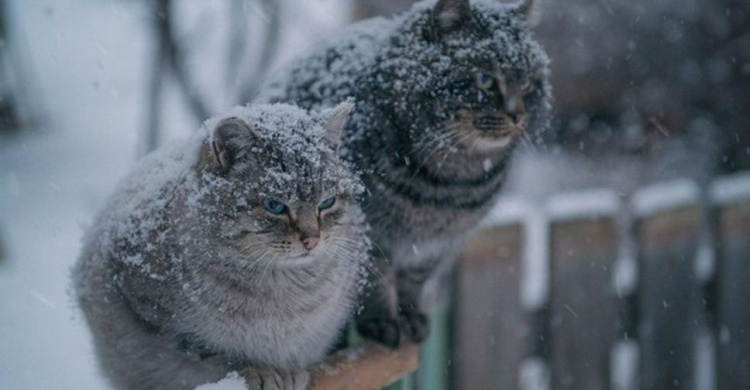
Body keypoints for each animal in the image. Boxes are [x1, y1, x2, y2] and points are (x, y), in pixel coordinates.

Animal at [74, 102, 370, 388]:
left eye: (327, 203)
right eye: (275, 206)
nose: (312, 240)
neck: (284, 288)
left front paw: (290, 371)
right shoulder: (159, 318)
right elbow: (215, 354)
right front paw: (259, 370)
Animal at [258, 0, 552, 348]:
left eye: (530, 84)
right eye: (484, 79)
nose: (518, 114)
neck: (451, 184)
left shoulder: (436, 247)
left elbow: (413, 282)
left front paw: (410, 318)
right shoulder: (371, 233)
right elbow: (376, 280)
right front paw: (383, 322)